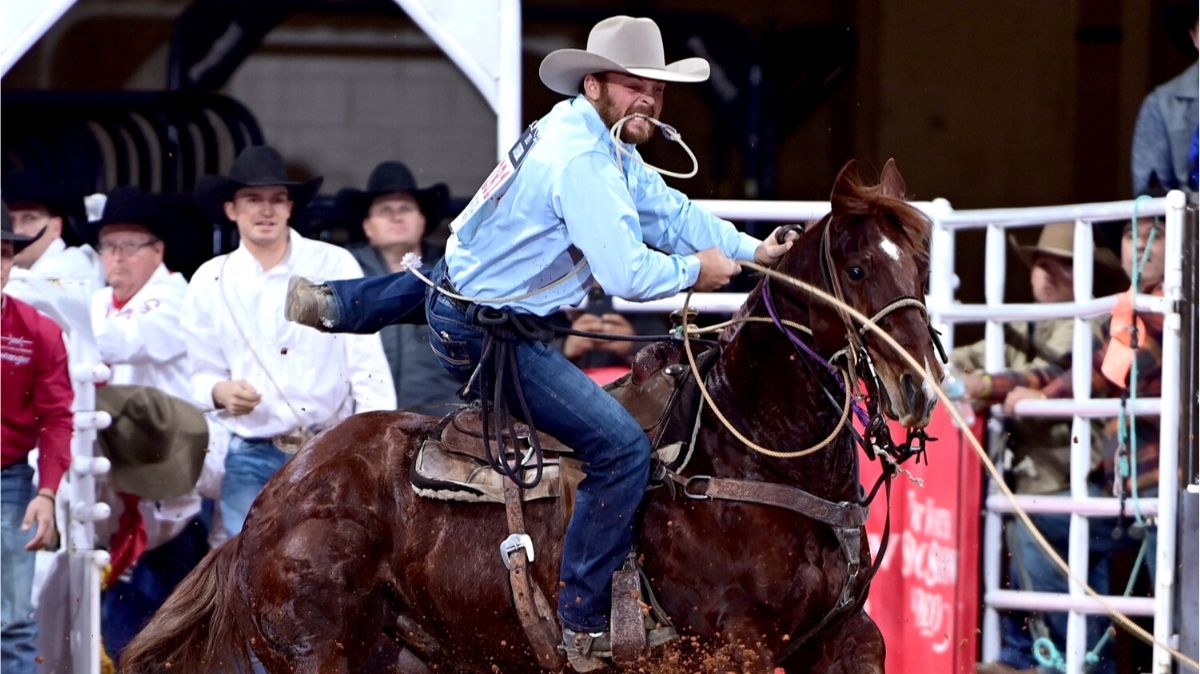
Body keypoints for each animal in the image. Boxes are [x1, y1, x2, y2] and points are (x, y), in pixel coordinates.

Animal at [124, 158, 945, 671]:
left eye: (923, 265)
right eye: (858, 268)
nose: (916, 388)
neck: (744, 454)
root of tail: (271, 505)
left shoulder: (843, 639)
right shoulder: (731, 648)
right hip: (315, 652)